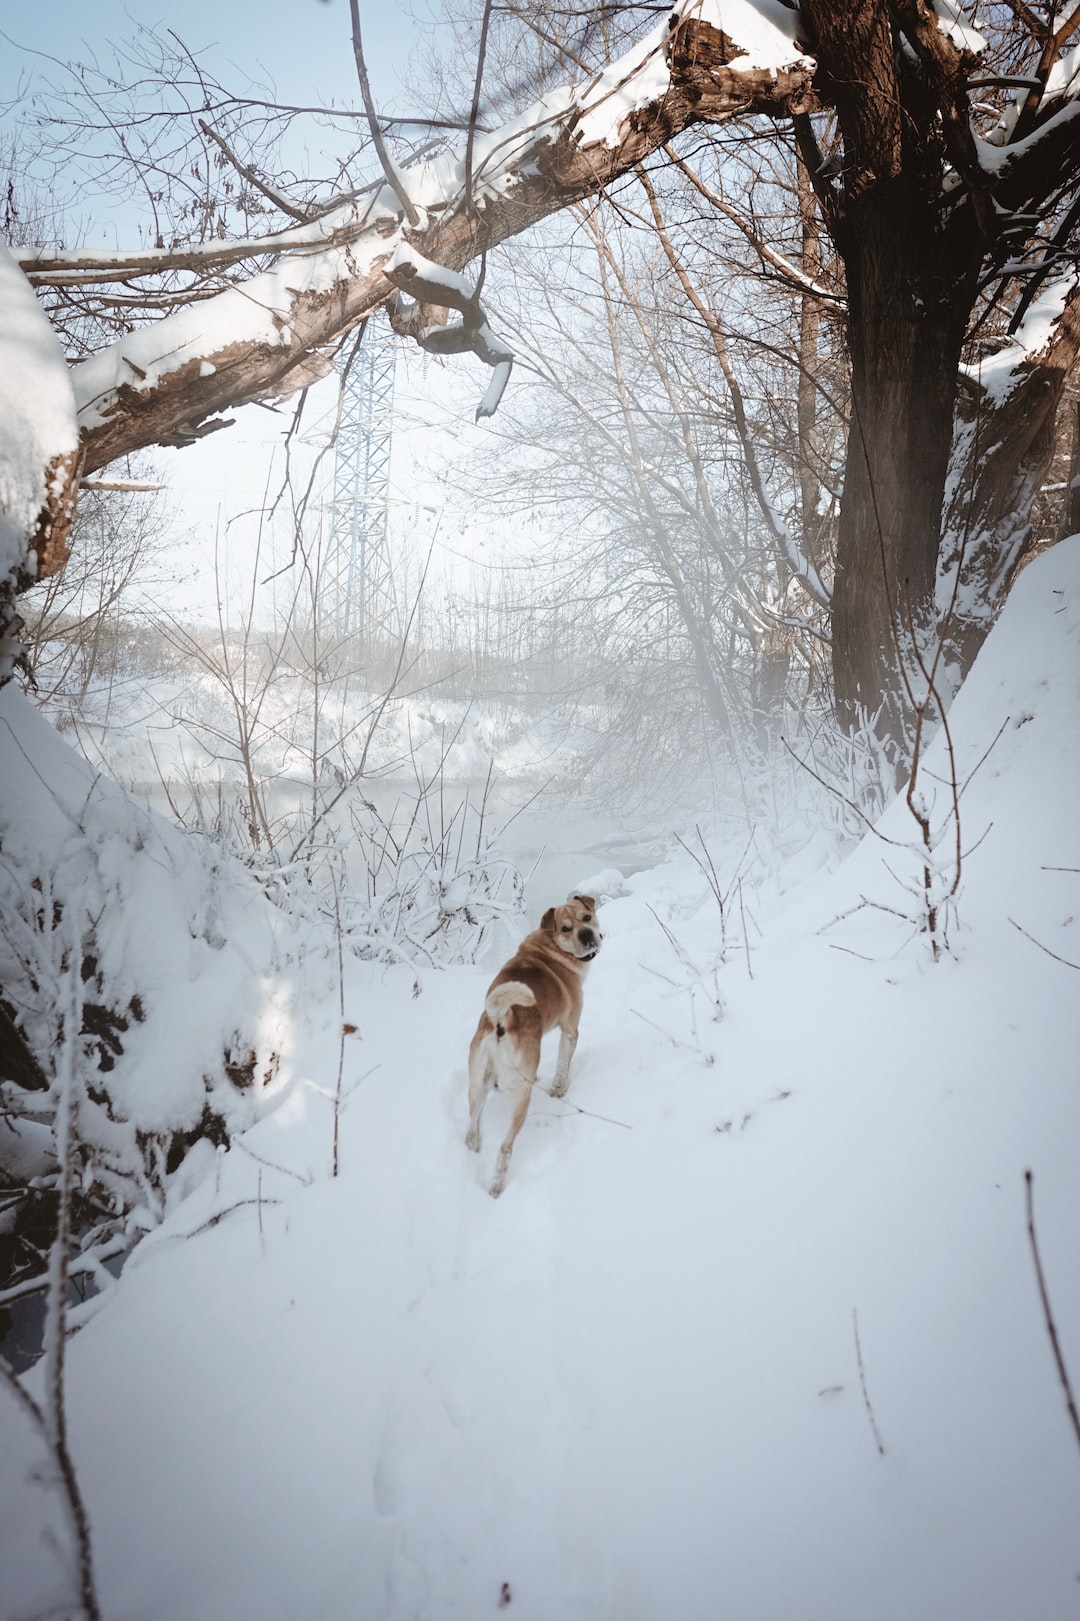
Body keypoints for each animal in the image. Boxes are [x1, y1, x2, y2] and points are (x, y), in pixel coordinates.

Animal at [463, 894, 596, 1199]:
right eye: (566, 928)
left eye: (587, 917)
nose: (587, 935)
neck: (551, 947)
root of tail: (500, 1018)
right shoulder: (570, 1030)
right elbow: (562, 1066)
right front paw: (559, 1090)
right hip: (521, 1095)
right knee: (505, 1147)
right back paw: (496, 1187)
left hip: (477, 1083)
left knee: (472, 1126)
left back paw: (474, 1148)